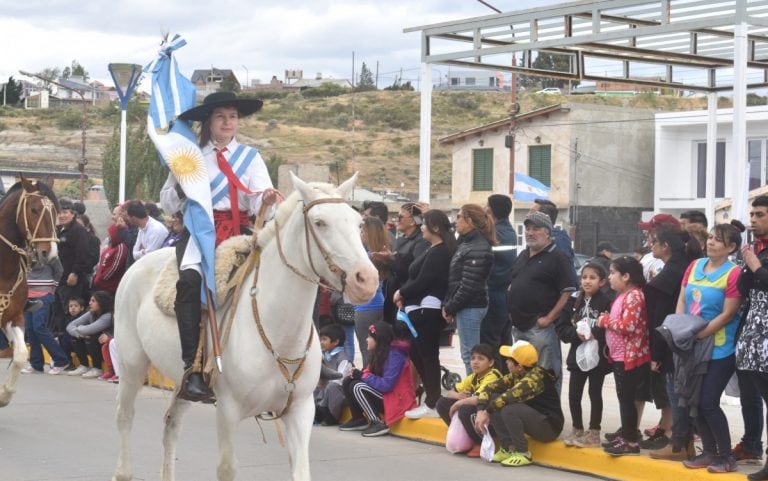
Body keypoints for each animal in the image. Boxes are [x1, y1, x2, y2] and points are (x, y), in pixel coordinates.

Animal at [0, 176, 58, 404]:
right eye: (33, 210)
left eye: (55, 211)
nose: (50, 252)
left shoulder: (13, 316)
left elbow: (20, 356)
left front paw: (4, 394)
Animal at [112, 174, 380, 480]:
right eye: (320, 222)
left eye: (358, 223)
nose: (367, 280)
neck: (279, 335)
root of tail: (138, 264)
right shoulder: (228, 410)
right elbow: (227, 468)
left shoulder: (301, 411)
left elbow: (301, 470)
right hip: (132, 364)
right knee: (125, 415)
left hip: (181, 380)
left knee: (171, 424)